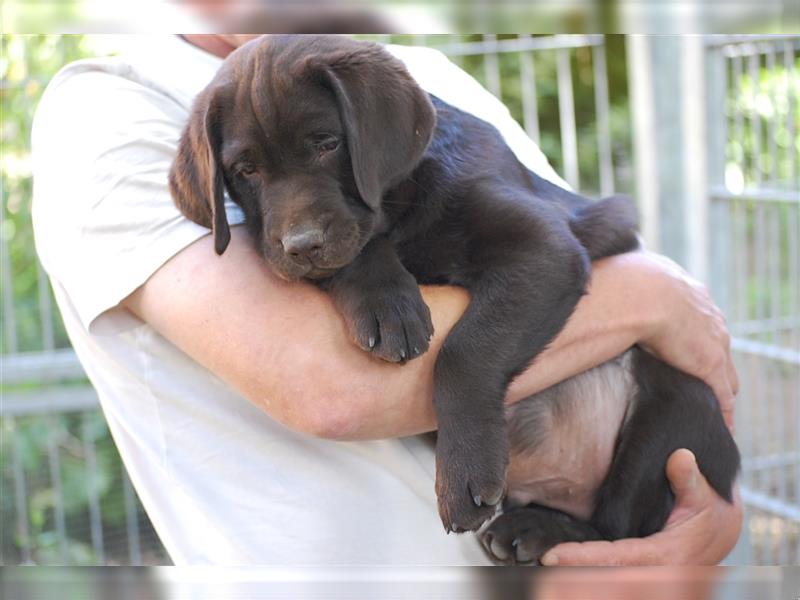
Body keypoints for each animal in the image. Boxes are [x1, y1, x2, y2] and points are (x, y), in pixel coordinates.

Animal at [169, 36, 736, 564]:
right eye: (245, 170)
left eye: (327, 143)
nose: (301, 245)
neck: (405, 203)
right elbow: (359, 248)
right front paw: (387, 305)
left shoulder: (546, 249)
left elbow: (464, 353)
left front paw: (462, 474)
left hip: (676, 412)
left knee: (618, 529)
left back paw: (540, 530)